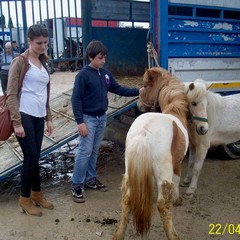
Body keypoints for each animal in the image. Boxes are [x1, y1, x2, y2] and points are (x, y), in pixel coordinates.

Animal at [114, 67, 189, 240]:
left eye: (145, 86)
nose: (139, 105)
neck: (175, 109)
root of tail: (144, 132)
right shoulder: (178, 163)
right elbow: (177, 179)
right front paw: (177, 199)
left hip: (129, 172)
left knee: (126, 199)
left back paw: (119, 234)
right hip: (165, 174)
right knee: (162, 205)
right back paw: (173, 235)